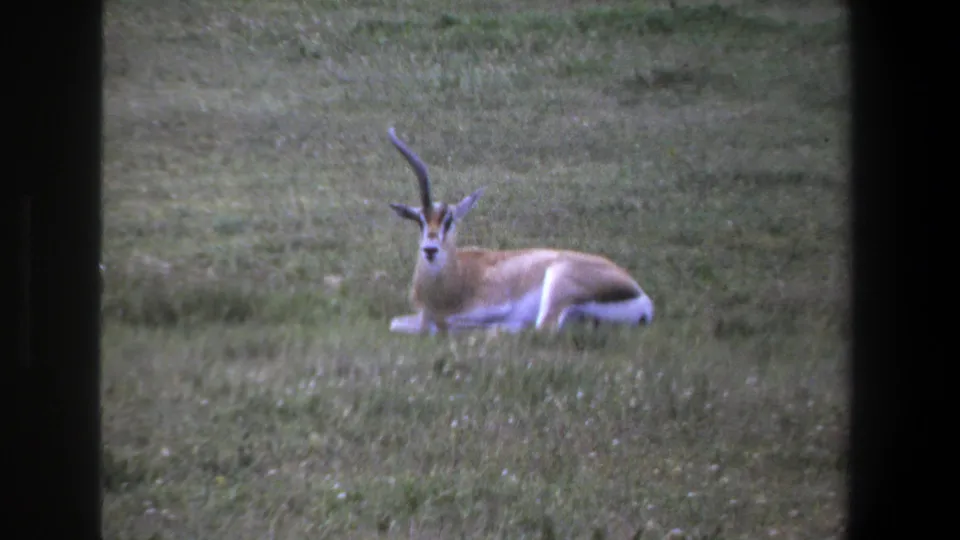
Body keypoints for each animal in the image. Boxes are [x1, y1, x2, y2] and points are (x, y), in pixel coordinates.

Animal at [385, 127, 654, 335]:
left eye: (449, 220)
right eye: (419, 220)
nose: (430, 249)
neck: (458, 278)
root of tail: (640, 296)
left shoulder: (493, 306)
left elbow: (439, 324)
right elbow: (397, 323)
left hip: (557, 283)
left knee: (540, 328)